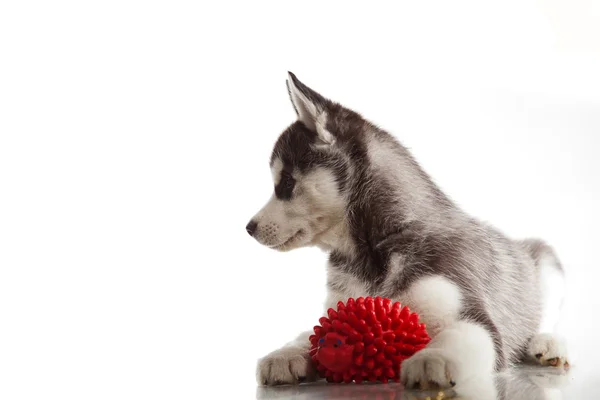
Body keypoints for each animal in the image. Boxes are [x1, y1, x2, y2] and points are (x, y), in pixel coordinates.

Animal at [245, 72, 568, 390]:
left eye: (286, 182)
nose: (249, 227)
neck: (370, 253)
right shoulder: (336, 308)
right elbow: (309, 334)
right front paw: (286, 353)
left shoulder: (474, 315)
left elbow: (458, 335)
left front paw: (434, 357)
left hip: (547, 264)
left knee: (546, 317)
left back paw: (548, 344)